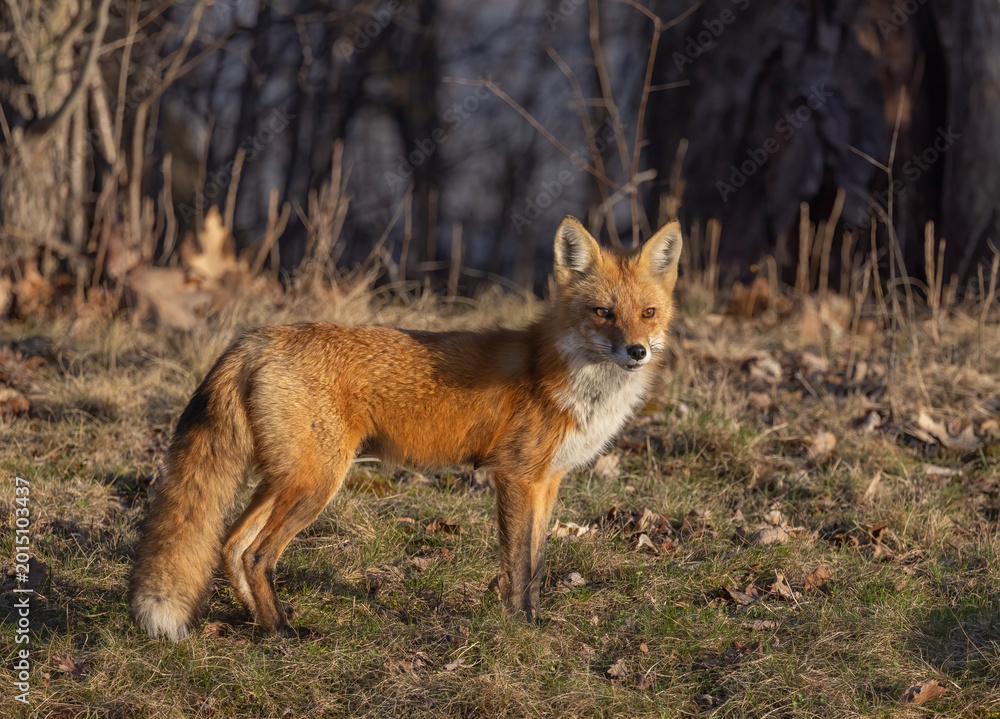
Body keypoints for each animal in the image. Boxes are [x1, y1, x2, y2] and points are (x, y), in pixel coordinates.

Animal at [129, 215, 683, 640]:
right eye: (603, 312)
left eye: (648, 312)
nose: (636, 351)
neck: (570, 381)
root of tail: (258, 336)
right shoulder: (517, 477)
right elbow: (518, 565)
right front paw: (520, 627)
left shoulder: (548, 481)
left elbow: (538, 563)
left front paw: (535, 621)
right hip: (315, 483)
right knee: (257, 554)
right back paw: (282, 632)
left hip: (285, 479)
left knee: (230, 545)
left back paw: (262, 623)